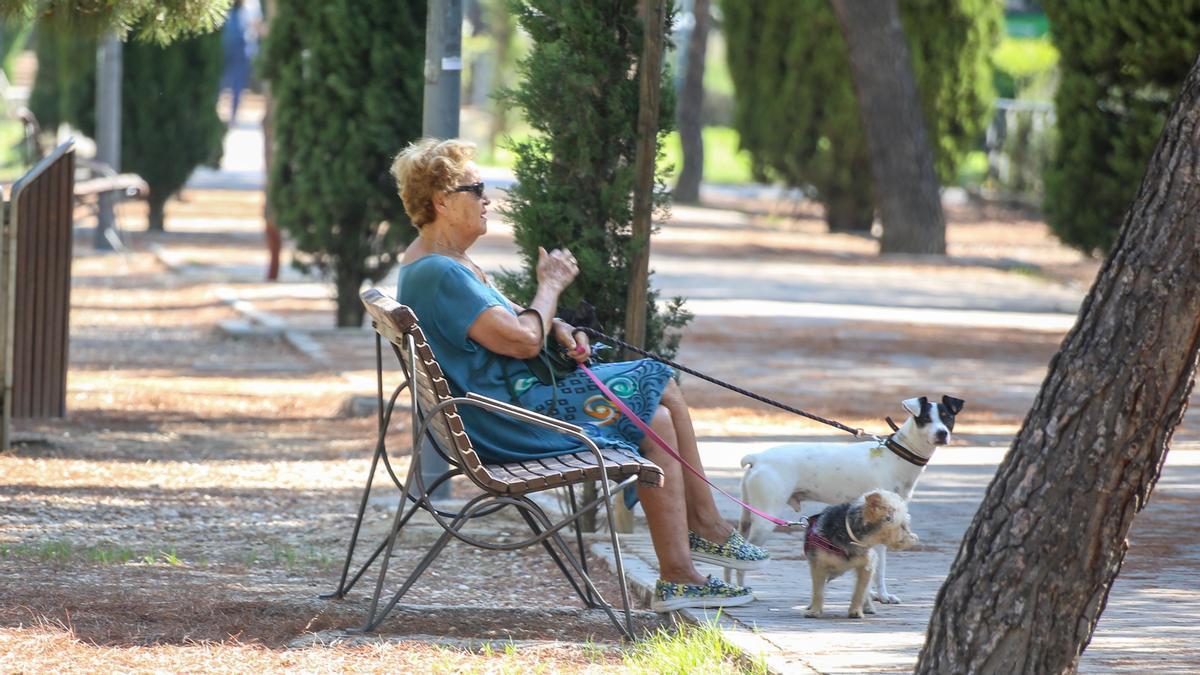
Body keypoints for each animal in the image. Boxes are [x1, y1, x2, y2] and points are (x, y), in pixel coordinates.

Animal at [734, 391, 960, 600]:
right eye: (925, 418)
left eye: (948, 417)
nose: (942, 433)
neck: (897, 456)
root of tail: (758, 458)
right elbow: (880, 567)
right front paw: (881, 596)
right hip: (765, 520)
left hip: (747, 516)